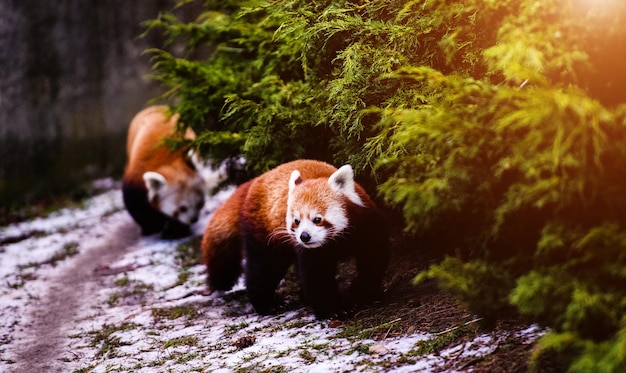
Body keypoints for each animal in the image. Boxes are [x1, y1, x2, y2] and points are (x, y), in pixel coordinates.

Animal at [123, 106, 206, 237]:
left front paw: (176, 230)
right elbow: (136, 205)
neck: (167, 162)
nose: (194, 219)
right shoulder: (135, 178)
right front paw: (151, 227)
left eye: (200, 203)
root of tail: (155, 106)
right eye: (182, 208)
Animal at [200, 158, 388, 318]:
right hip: (264, 231)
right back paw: (268, 304)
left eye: (317, 219)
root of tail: (256, 180)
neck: (336, 241)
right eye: (296, 221)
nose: (304, 236)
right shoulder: (312, 251)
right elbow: (316, 275)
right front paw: (334, 309)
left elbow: (373, 258)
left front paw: (361, 292)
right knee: (263, 267)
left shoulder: (365, 225)